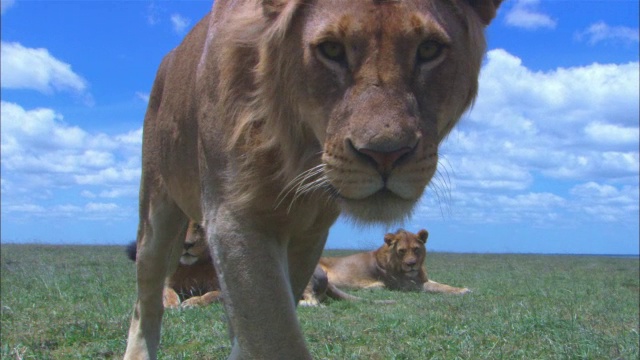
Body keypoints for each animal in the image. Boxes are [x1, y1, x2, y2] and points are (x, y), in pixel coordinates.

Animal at [124, 0, 500, 358]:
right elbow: (275, 338)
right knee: (146, 302)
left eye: (429, 49)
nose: (385, 155)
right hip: (156, 213)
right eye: (331, 50)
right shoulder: (234, 216)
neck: (295, 154)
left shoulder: (310, 234)